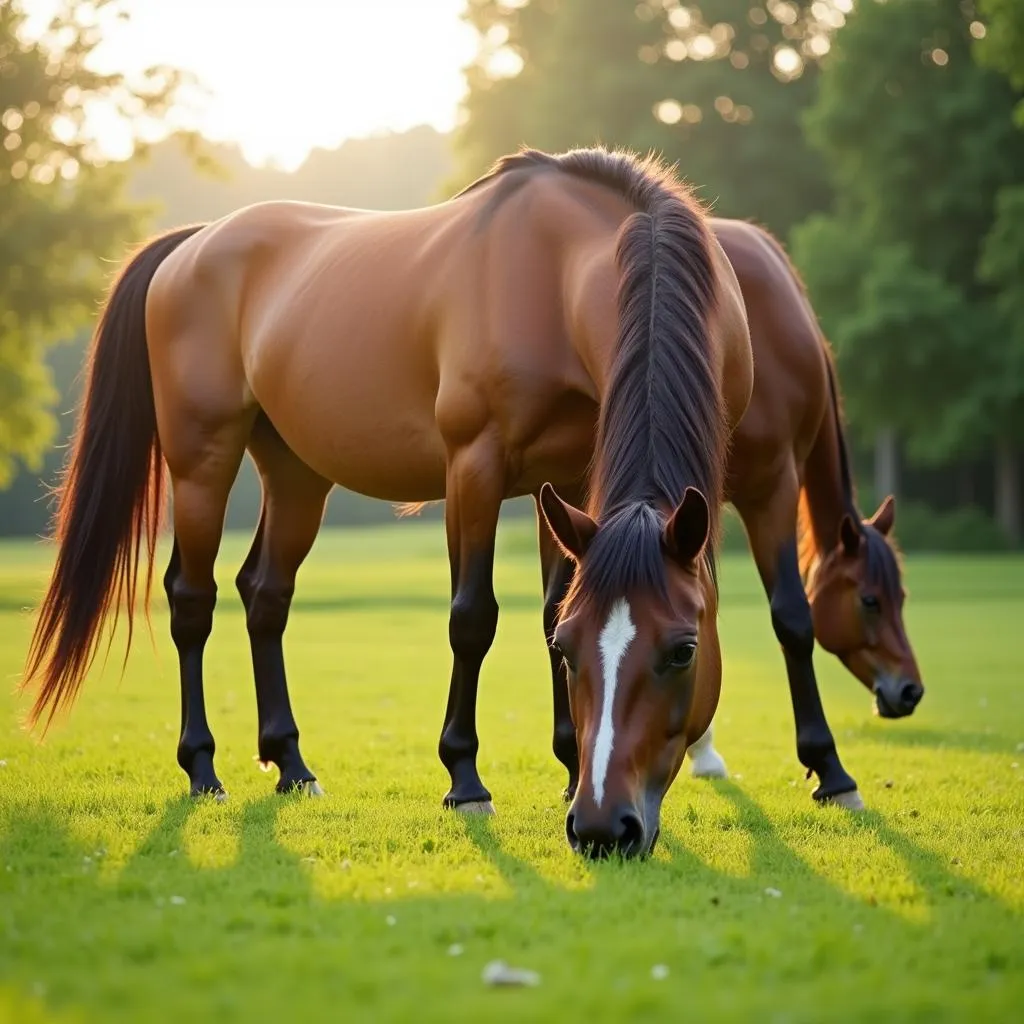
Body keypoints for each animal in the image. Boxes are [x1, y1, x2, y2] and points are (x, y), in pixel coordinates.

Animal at [22, 148, 753, 860]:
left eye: (683, 650)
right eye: (578, 651)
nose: (604, 828)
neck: (557, 273)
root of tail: (193, 244)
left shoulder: (571, 484)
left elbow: (549, 605)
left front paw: (571, 771)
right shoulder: (475, 467)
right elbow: (473, 618)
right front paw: (465, 780)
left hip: (296, 473)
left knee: (265, 593)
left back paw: (292, 765)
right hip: (203, 459)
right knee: (191, 600)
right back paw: (203, 769)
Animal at [540, 218, 925, 815]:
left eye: (902, 597)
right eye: (870, 600)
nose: (909, 690)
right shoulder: (775, 485)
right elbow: (792, 618)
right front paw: (831, 769)